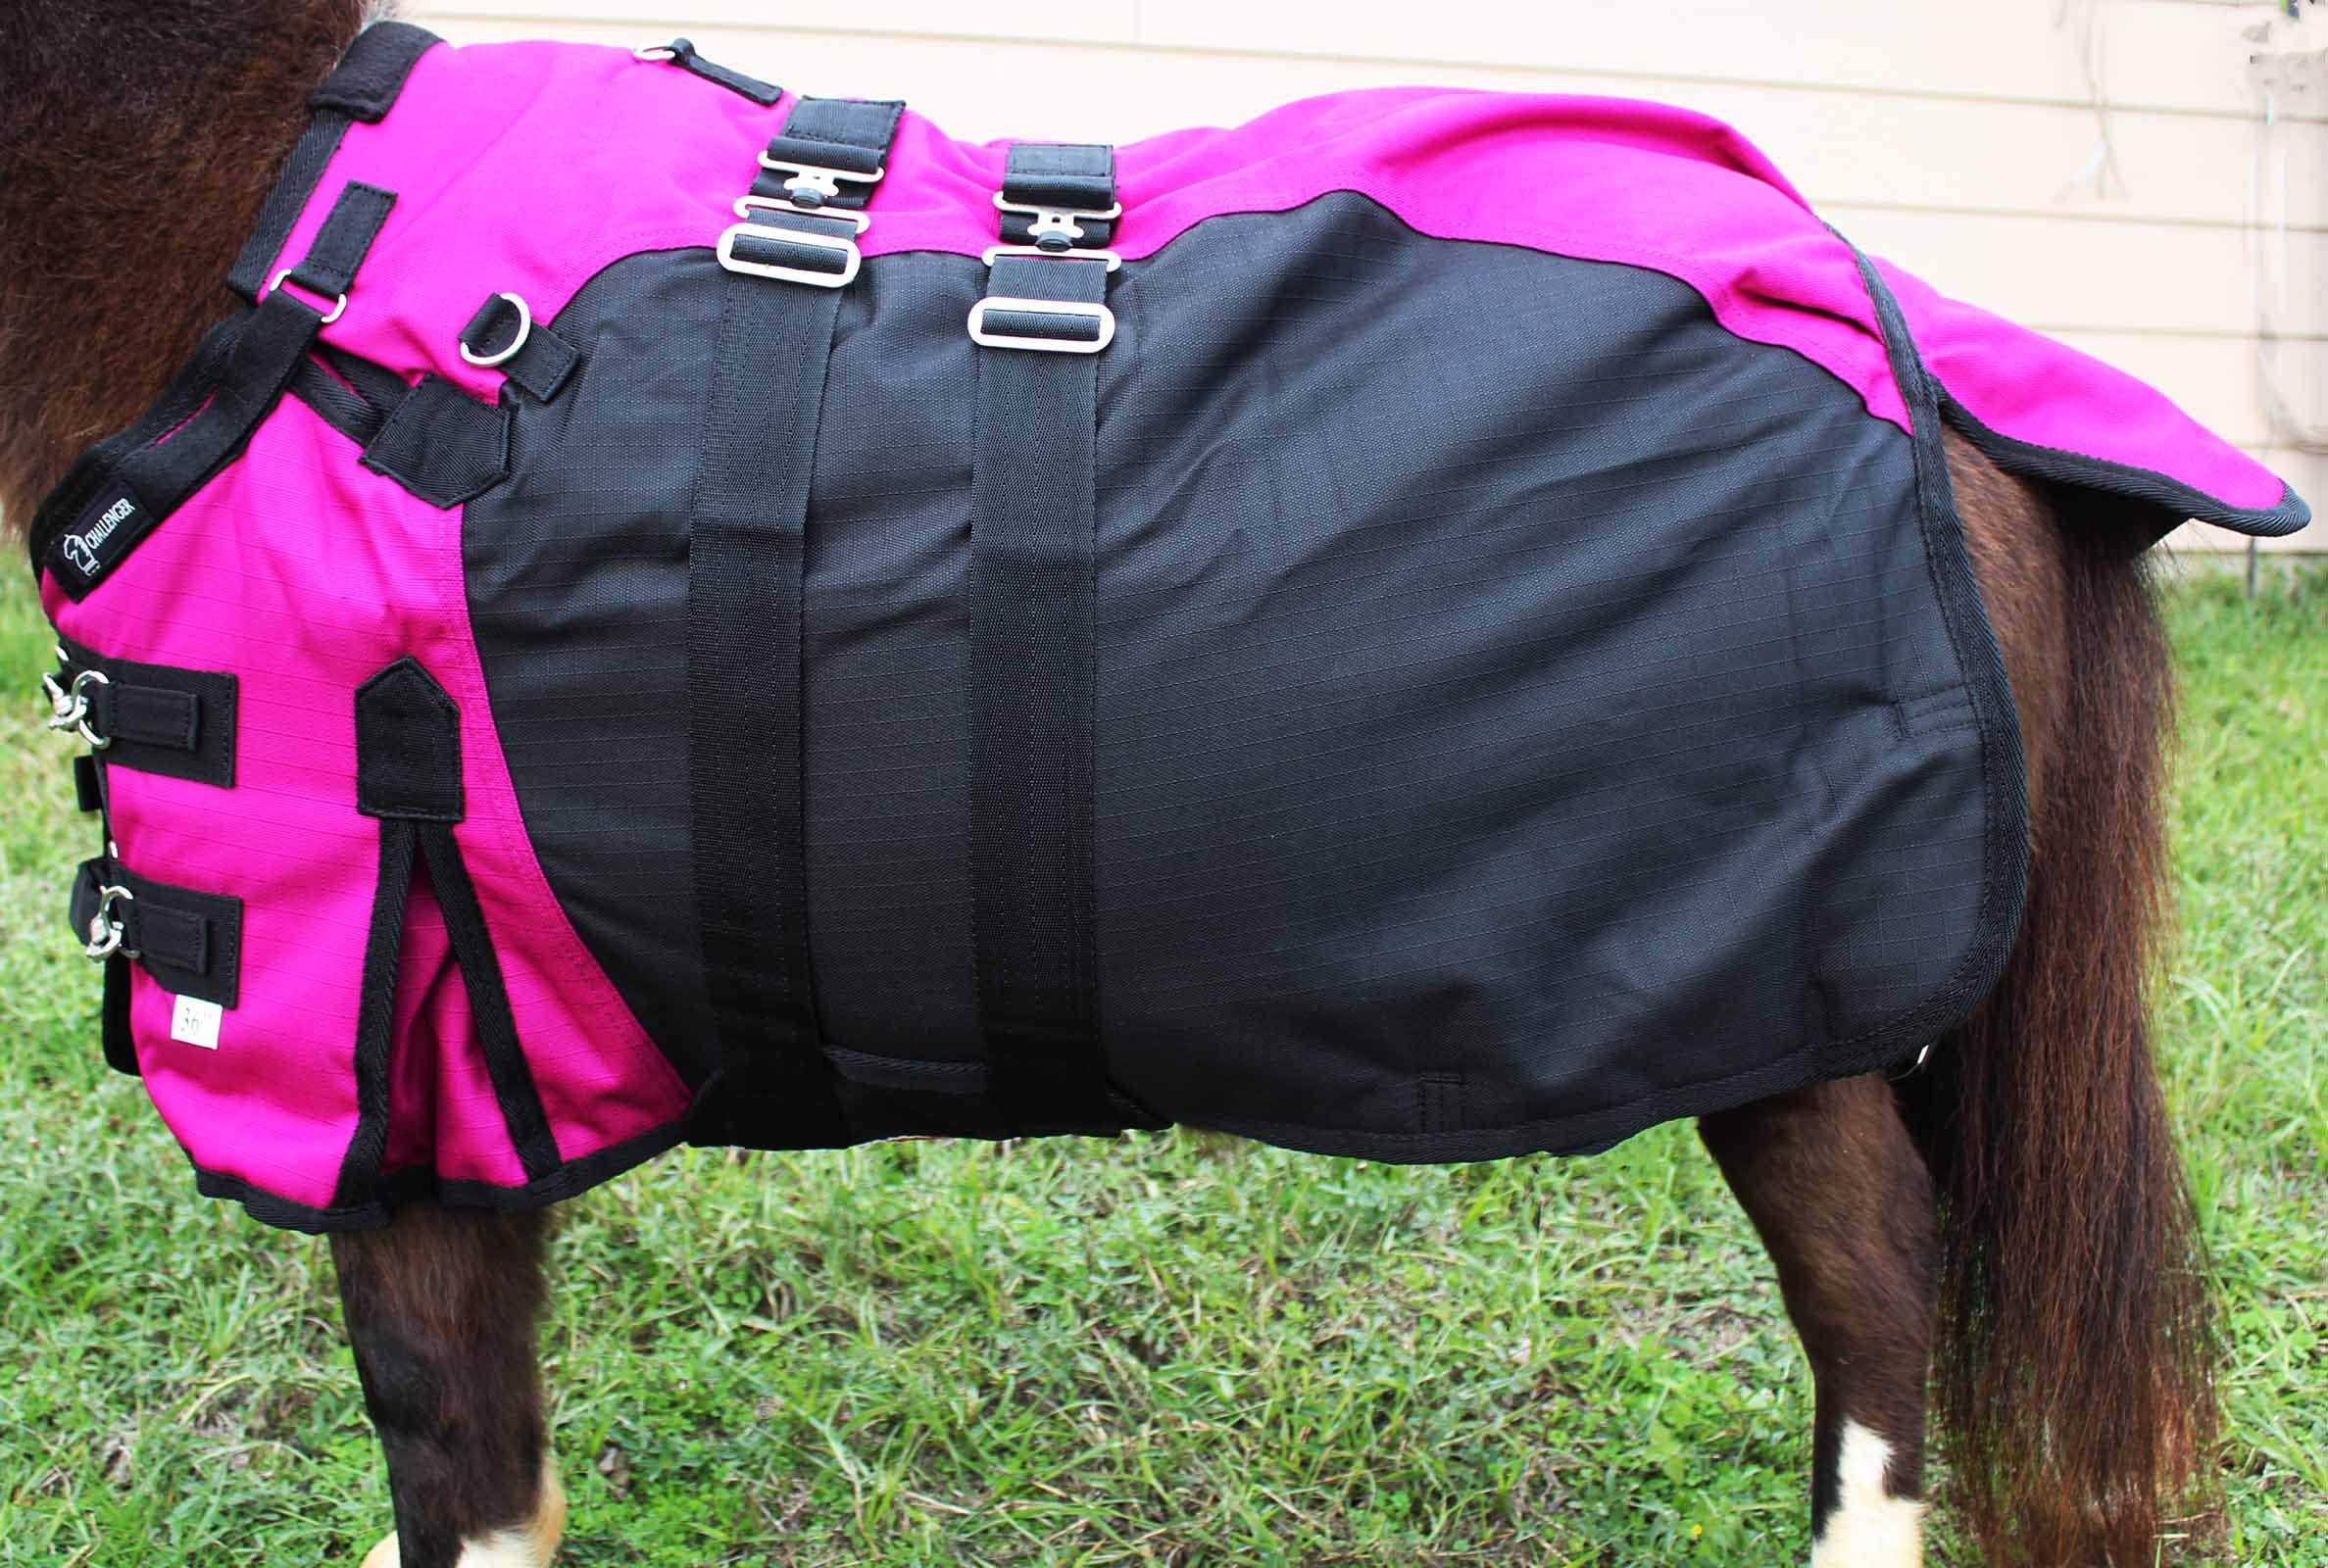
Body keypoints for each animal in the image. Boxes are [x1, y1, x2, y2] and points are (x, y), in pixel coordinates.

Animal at [0, 4, 2220, 1564]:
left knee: (1877, 1313)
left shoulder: (389, 1093)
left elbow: (455, 1471)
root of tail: (1929, 350)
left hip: (1790, 1015)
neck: (264, 228)